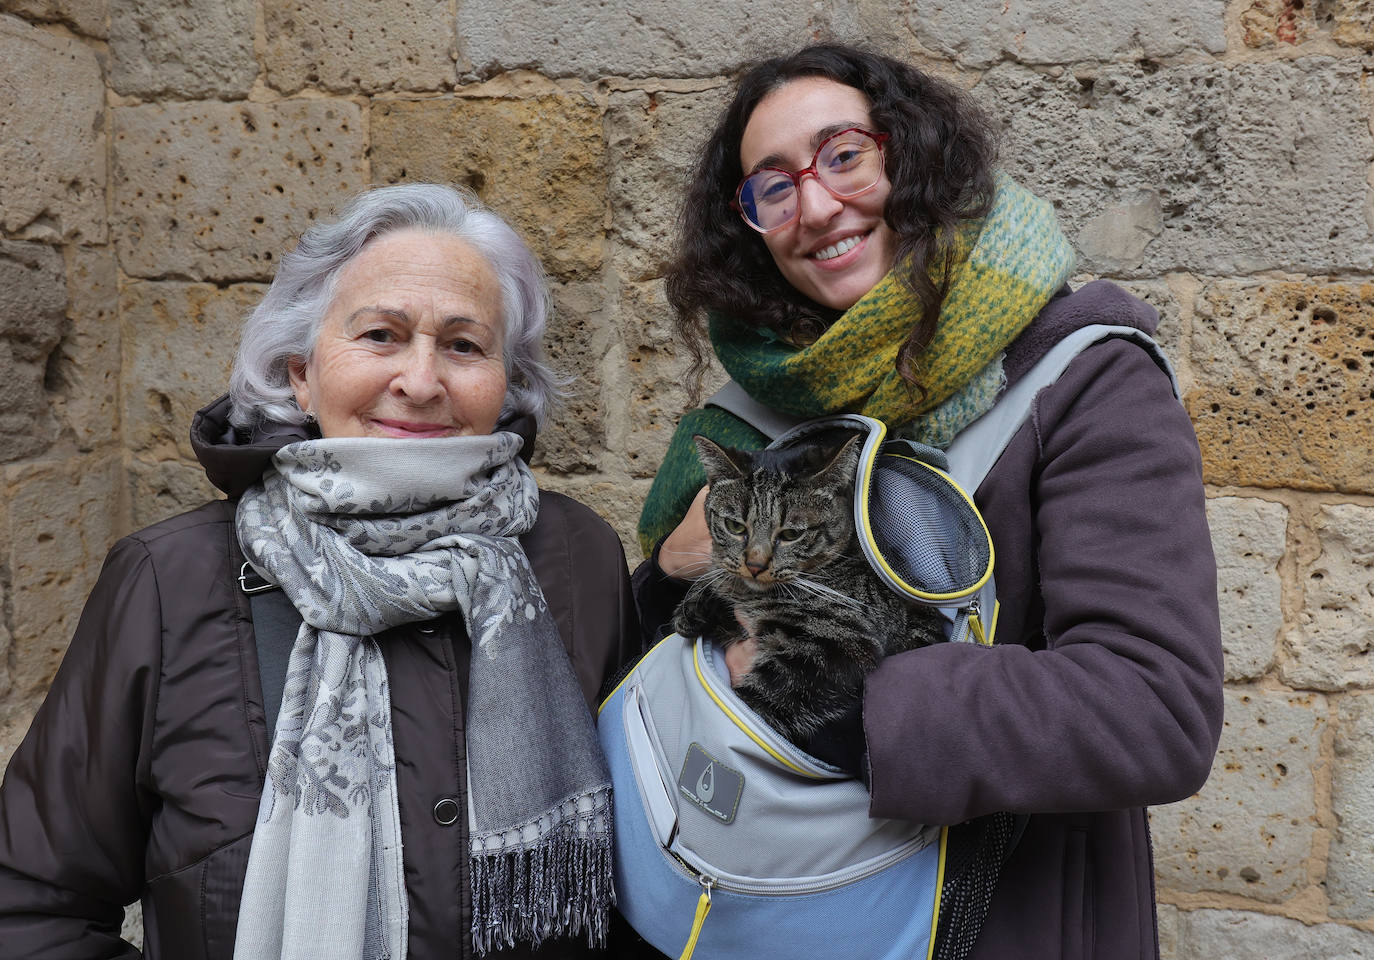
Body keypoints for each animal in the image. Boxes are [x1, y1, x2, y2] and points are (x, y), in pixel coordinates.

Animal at [667, 431, 945, 747]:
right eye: (734, 526)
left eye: (791, 534)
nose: (754, 565)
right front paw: (695, 605)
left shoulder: (835, 645)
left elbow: (761, 701)